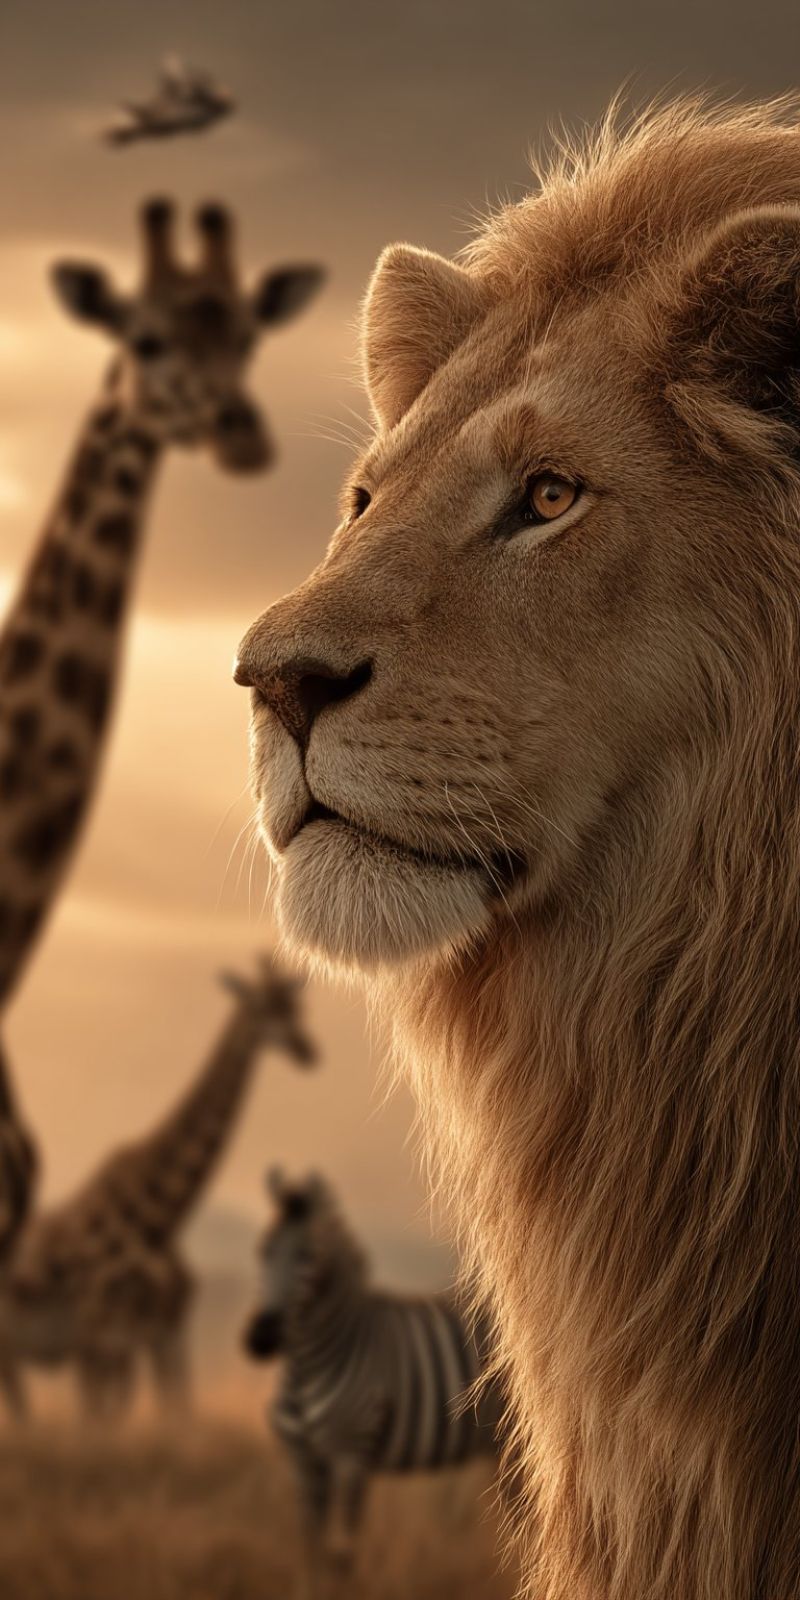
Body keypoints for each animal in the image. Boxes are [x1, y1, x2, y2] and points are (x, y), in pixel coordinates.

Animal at [243, 1168, 501, 1596]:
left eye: (306, 1256)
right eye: (263, 1251)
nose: (259, 1339)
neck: (306, 1368)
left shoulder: (352, 1455)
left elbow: (342, 1554)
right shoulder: (305, 1460)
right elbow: (310, 1546)